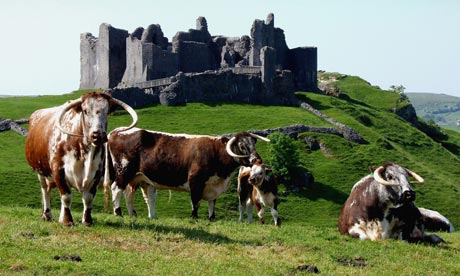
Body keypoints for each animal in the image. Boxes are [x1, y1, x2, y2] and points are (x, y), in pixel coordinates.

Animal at [24, 91, 137, 225]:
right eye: (85, 111)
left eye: (107, 111)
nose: (98, 135)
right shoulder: (58, 171)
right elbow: (66, 196)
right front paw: (68, 221)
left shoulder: (96, 173)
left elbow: (88, 199)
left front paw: (87, 221)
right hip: (41, 172)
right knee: (46, 190)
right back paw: (47, 215)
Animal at [104, 128, 270, 221]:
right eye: (241, 145)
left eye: (254, 143)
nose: (257, 159)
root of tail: (117, 132)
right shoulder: (195, 181)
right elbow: (195, 202)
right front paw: (194, 218)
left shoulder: (213, 186)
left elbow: (212, 204)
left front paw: (212, 219)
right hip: (123, 170)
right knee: (116, 189)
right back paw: (118, 213)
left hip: (139, 178)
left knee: (136, 195)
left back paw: (143, 215)